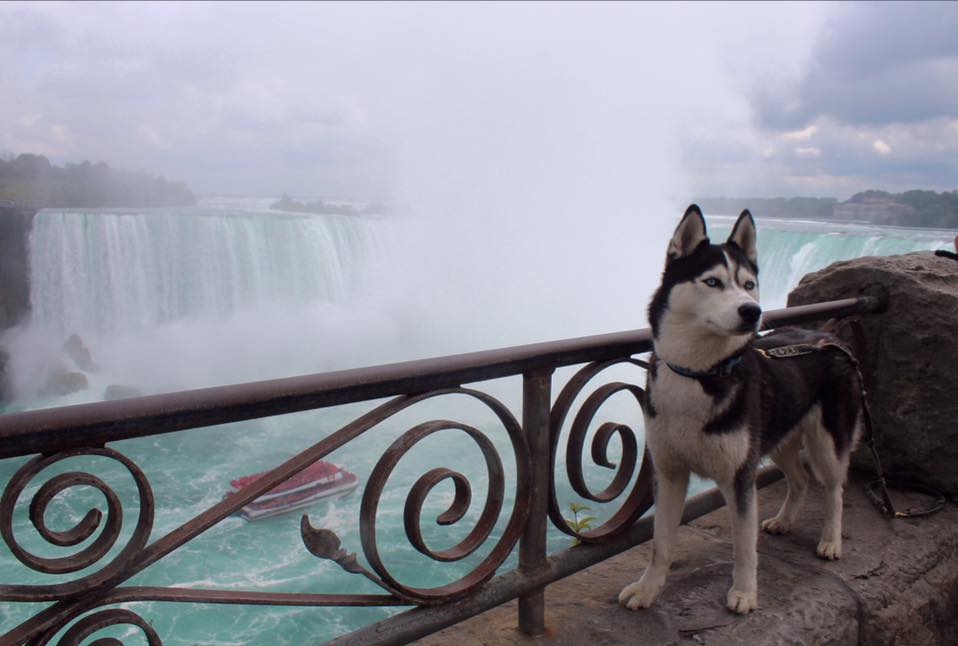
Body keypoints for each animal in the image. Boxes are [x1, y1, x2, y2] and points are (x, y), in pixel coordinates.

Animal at [620, 205, 868, 616]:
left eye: (749, 284)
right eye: (712, 282)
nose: (753, 311)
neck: (699, 373)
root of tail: (830, 339)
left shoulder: (739, 477)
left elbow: (743, 545)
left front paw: (745, 592)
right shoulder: (670, 473)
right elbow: (660, 544)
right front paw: (648, 589)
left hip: (827, 442)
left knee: (834, 489)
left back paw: (831, 540)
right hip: (777, 438)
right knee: (800, 479)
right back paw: (784, 520)